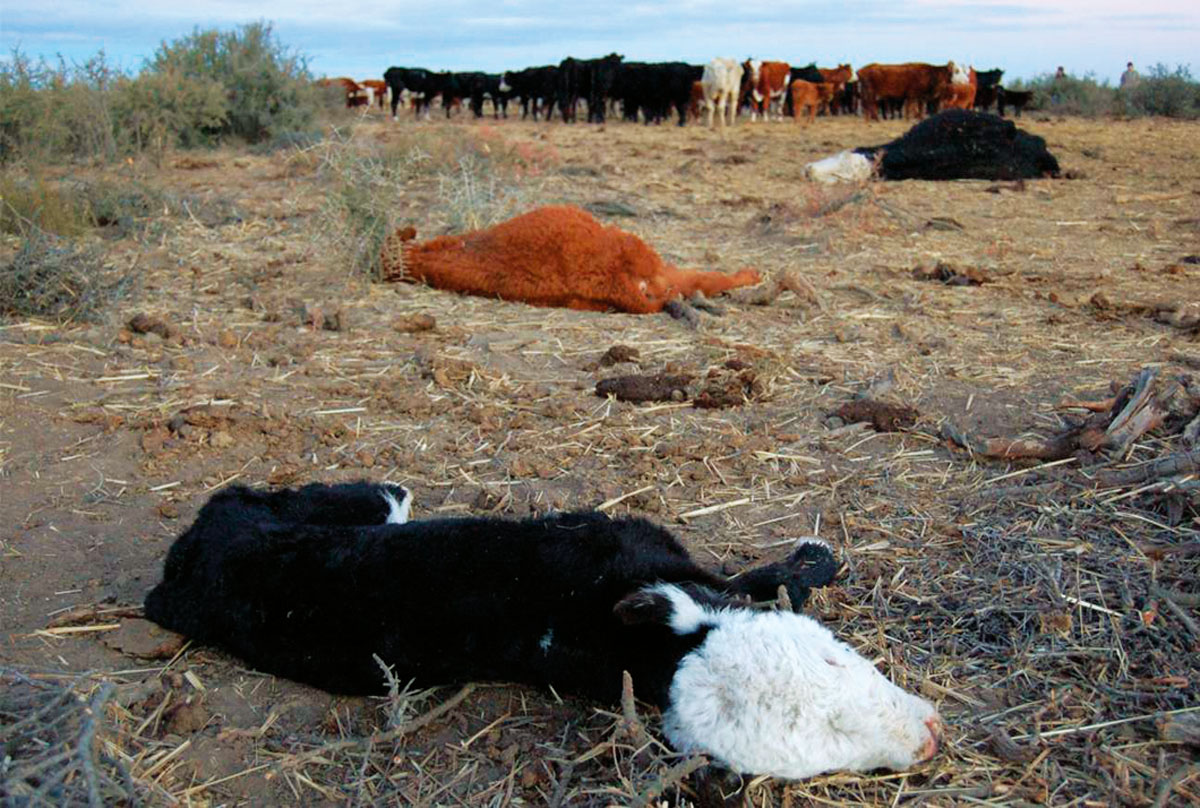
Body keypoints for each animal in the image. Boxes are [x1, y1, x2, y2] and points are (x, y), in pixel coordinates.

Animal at [145, 482, 940, 777]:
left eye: (834, 663)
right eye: (826, 750)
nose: (930, 737)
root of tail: (180, 571)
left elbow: (763, 582)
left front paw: (814, 559)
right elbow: (764, 579)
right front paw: (811, 557)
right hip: (351, 499)